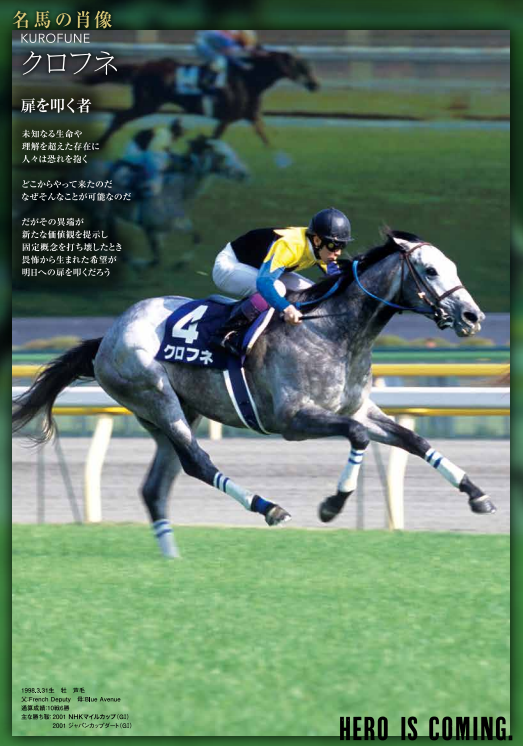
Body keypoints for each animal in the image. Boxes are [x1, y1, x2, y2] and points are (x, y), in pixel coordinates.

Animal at [12, 230, 497, 558]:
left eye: (452, 266)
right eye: (431, 270)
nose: (474, 315)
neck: (334, 330)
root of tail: (109, 334)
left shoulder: (360, 408)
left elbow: (414, 439)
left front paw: (477, 493)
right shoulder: (293, 419)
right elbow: (357, 437)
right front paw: (332, 505)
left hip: (175, 413)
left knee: (155, 486)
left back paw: (171, 556)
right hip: (156, 397)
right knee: (197, 463)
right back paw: (269, 507)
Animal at [84, 49, 320, 149]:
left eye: (308, 66)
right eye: (301, 66)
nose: (315, 84)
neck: (248, 78)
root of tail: (143, 66)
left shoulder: (251, 116)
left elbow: (264, 136)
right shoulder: (227, 117)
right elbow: (214, 138)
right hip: (147, 103)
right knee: (118, 117)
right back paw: (100, 144)